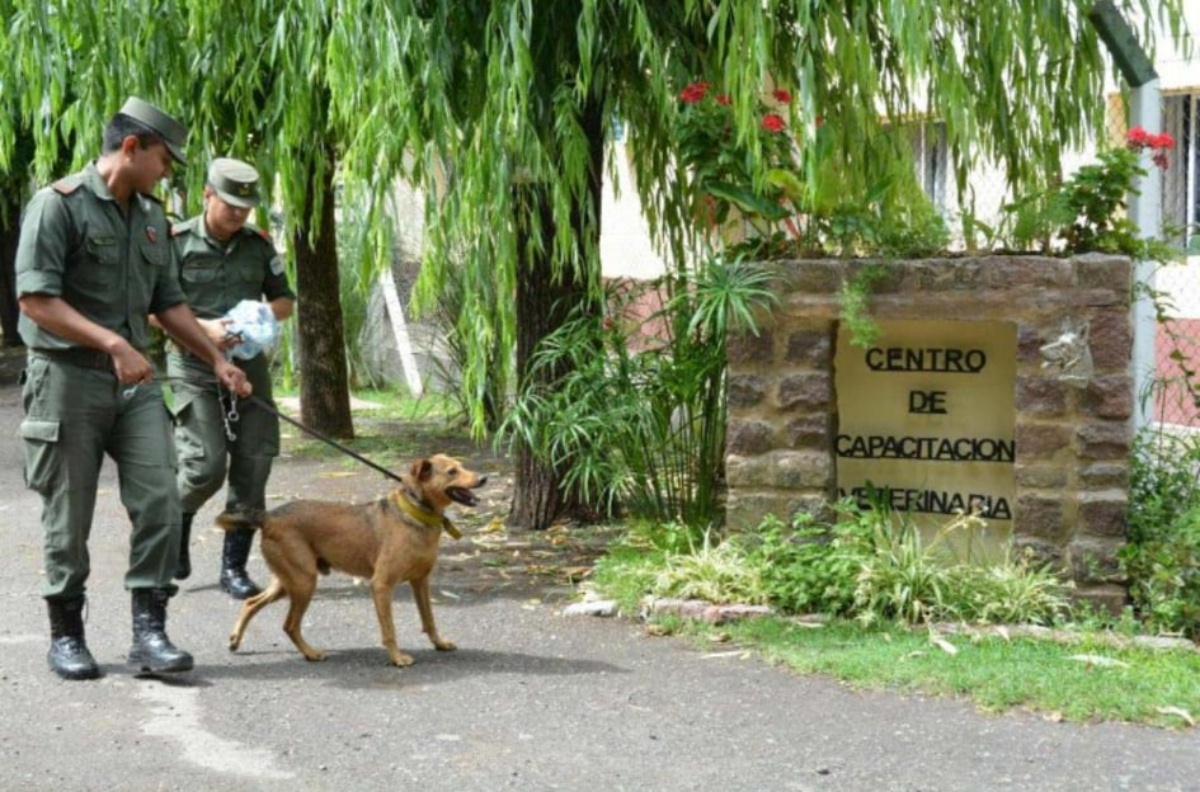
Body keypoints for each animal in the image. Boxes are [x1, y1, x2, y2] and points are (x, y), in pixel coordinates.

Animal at [218, 453, 484, 667]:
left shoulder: (421, 581)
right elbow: (389, 629)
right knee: (289, 625)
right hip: (304, 582)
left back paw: (234, 640)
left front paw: (439, 643)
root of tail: (268, 517)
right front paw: (397, 658)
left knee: (251, 602)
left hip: (287, 581)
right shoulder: (381, 585)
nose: (484, 478)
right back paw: (311, 653)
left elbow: (429, 619)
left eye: (462, 465)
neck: (416, 514)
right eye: (452, 471)